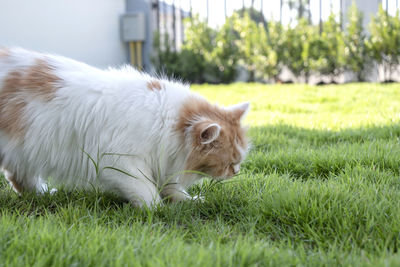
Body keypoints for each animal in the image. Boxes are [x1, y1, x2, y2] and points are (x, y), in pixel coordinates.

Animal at [0, 47, 250, 207]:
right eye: (229, 163)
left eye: (236, 162)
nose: (236, 172)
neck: (165, 120)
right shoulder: (121, 162)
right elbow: (146, 190)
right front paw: (159, 210)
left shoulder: (163, 160)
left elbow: (173, 188)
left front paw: (189, 202)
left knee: (19, 177)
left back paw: (42, 195)